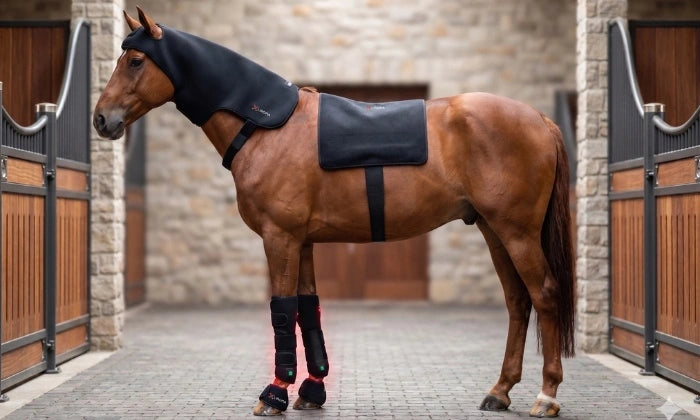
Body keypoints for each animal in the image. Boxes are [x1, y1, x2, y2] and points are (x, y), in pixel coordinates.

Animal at [94, 7, 575, 418]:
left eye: (135, 60)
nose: (101, 120)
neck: (264, 126)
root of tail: (540, 119)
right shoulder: (302, 241)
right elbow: (308, 309)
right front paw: (311, 390)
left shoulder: (280, 238)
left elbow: (282, 309)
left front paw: (274, 394)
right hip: (495, 231)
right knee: (518, 302)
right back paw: (500, 391)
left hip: (517, 233)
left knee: (544, 294)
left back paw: (547, 395)